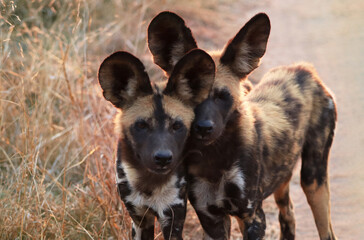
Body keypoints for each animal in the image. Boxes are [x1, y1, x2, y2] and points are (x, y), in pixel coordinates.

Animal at [98, 47, 215, 239]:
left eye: (177, 126)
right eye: (141, 125)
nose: (163, 158)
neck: (149, 183)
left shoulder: (172, 218)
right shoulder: (139, 218)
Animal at [146, 11, 336, 240]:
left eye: (222, 96)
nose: (203, 127)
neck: (214, 158)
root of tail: (303, 69)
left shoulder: (253, 217)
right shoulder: (211, 218)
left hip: (313, 181)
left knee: (326, 229)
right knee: (288, 214)